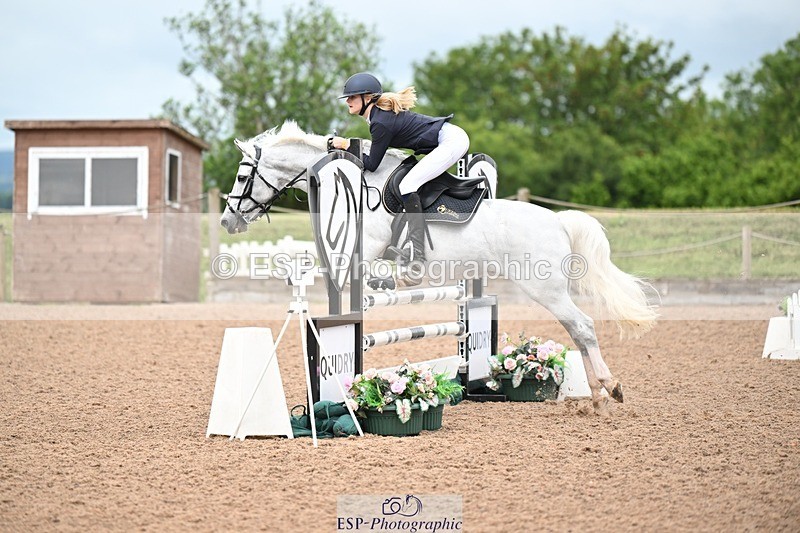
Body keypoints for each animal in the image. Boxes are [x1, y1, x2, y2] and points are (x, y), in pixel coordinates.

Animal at [220, 121, 658, 414]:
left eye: (241, 176)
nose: (228, 221)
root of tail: (559, 220)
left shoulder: (369, 244)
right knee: (578, 330)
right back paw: (597, 397)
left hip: (544, 288)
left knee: (582, 326)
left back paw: (608, 388)